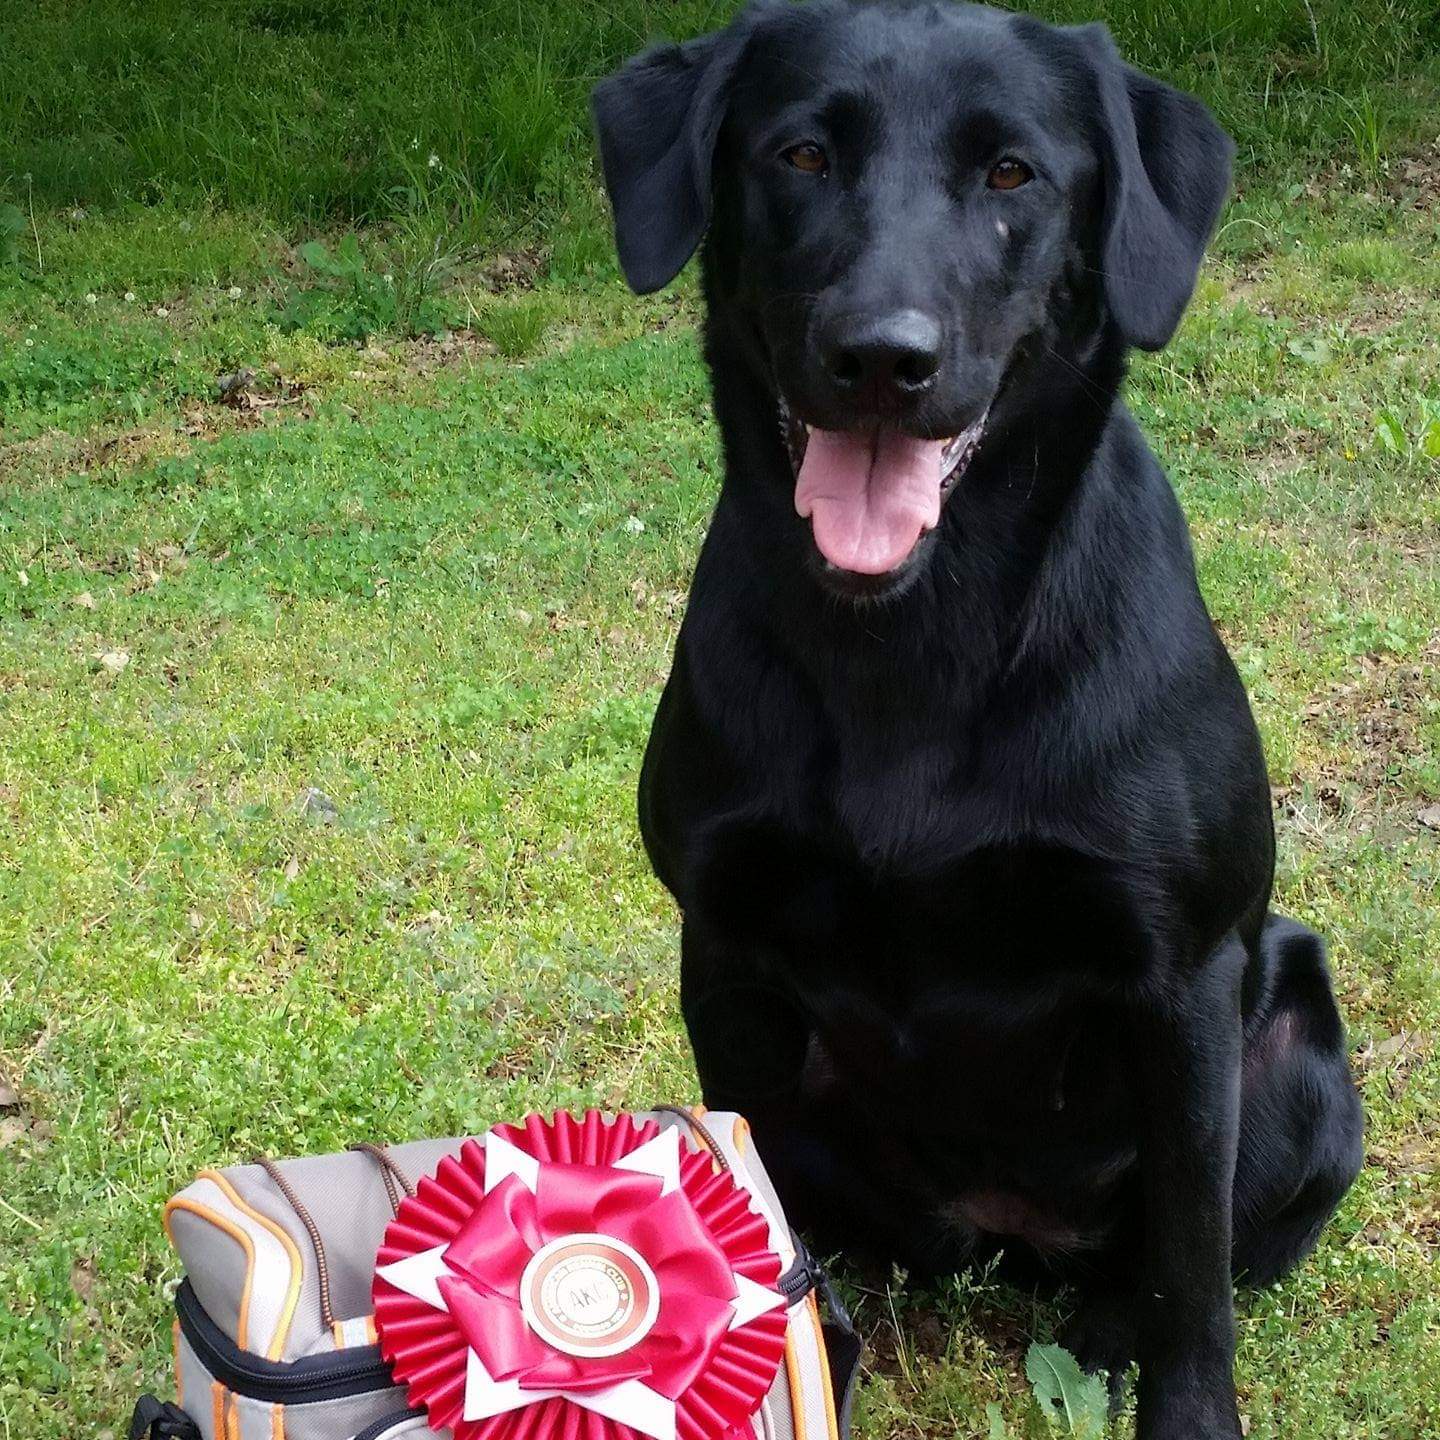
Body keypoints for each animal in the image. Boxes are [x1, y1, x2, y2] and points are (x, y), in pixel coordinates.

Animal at [593, 5, 1359, 1434]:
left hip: (1293, 1037)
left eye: (1013, 174)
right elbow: (765, 1234)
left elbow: (1191, 1267)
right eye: (801, 153)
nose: (882, 360)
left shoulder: (1183, 980)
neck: (914, 636)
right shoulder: (727, 962)